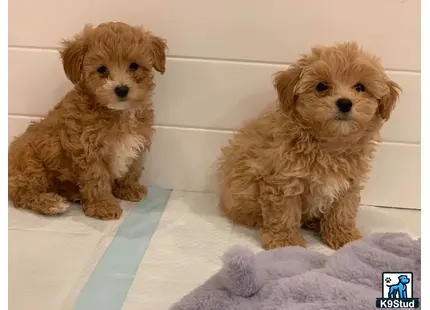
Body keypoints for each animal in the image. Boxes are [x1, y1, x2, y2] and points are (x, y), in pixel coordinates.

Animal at [8, 21, 166, 220]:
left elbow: (132, 169)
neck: (117, 113)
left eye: (134, 66)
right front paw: (103, 206)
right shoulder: (87, 150)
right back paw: (52, 203)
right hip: (31, 162)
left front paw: (129, 189)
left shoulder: (137, 142)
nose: (122, 89)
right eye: (102, 69)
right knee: (21, 192)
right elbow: (97, 179)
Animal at [217, 41, 402, 249]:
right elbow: (284, 213)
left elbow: (342, 211)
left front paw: (343, 236)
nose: (345, 103)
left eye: (360, 87)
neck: (329, 146)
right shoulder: (283, 181)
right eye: (321, 86)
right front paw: (286, 243)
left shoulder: (349, 182)